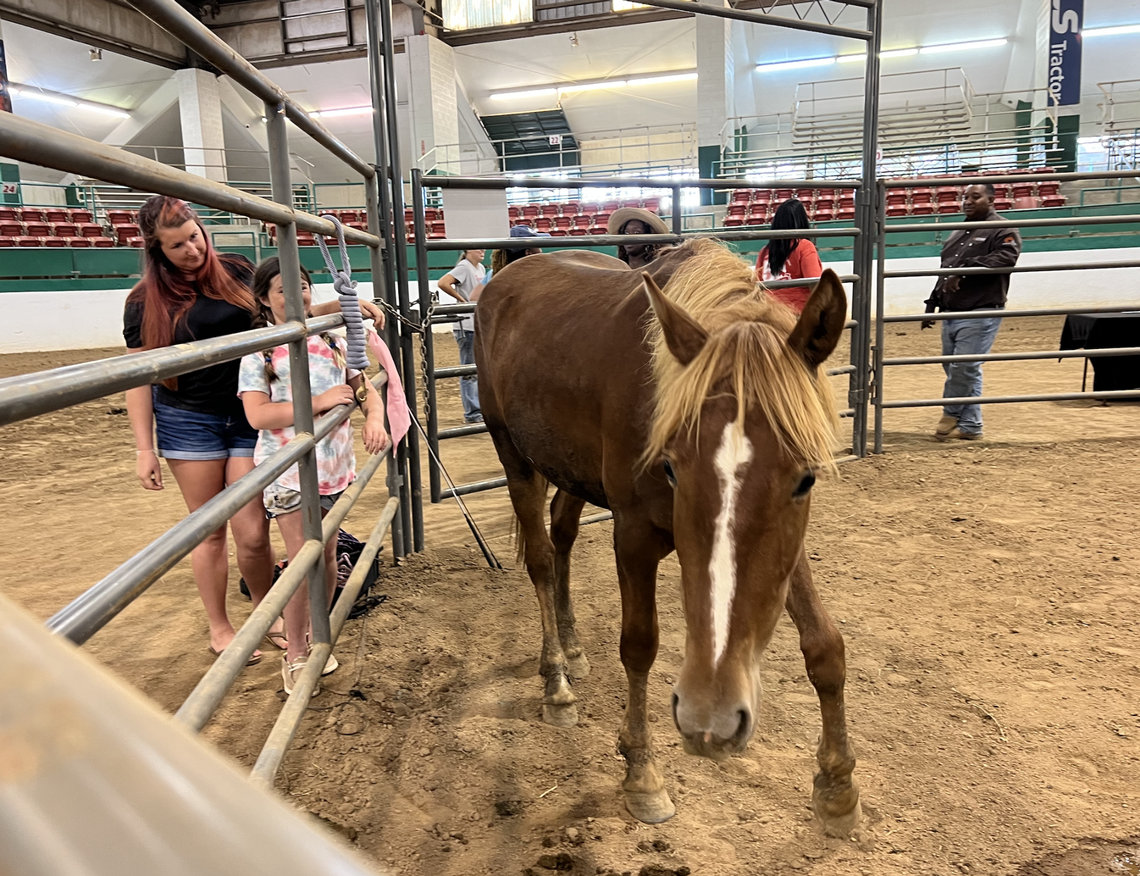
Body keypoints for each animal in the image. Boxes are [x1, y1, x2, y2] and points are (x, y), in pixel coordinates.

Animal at [469, 241, 857, 834]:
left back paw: (574, 648)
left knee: (562, 535)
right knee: (540, 558)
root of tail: (509, 273)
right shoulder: (633, 535)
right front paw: (642, 775)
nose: (713, 718)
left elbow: (824, 645)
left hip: (573, 472)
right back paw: (557, 682)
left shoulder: (785, 555)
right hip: (515, 458)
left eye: (806, 477)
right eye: (672, 467)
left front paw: (838, 787)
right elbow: (639, 645)